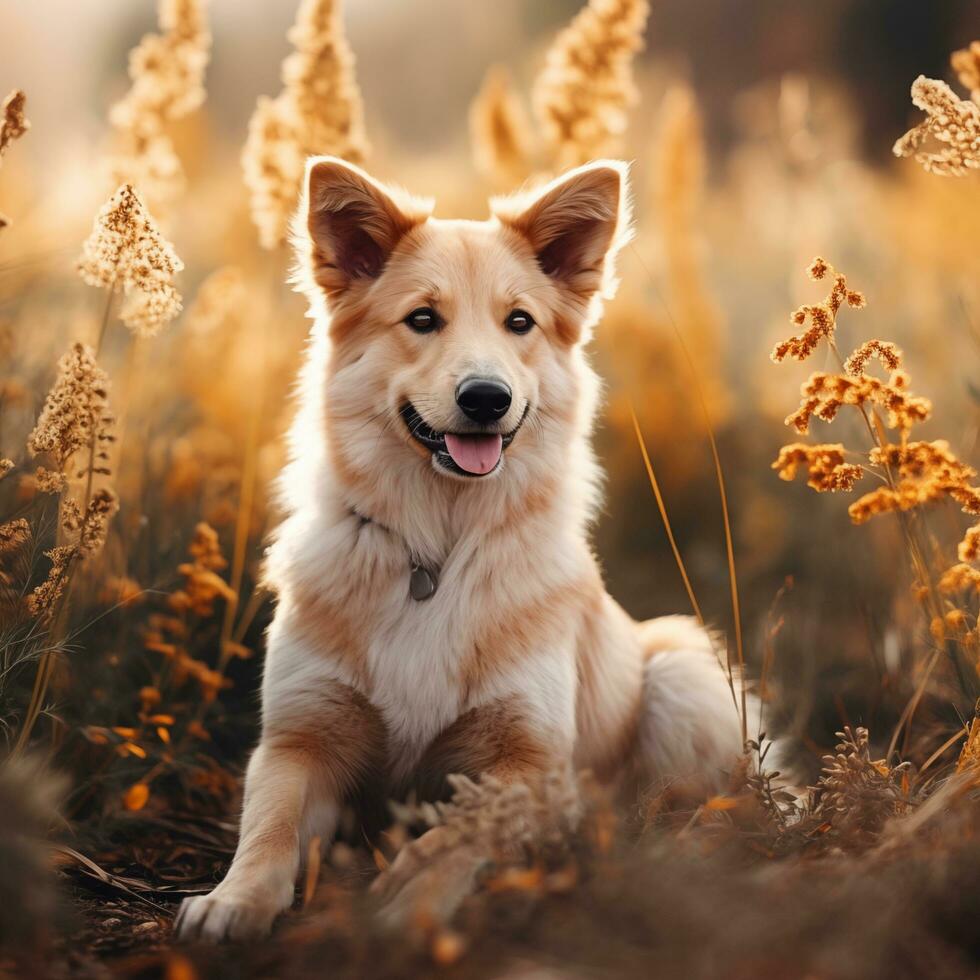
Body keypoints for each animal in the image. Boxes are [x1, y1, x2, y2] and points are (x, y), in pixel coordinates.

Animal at [174, 155, 756, 940]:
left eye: (520, 323)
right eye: (423, 319)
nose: (486, 398)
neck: (438, 550)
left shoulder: (532, 764)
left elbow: (466, 825)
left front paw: (414, 896)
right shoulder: (298, 740)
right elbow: (268, 825)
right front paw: (233, 901)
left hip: (680, 672)